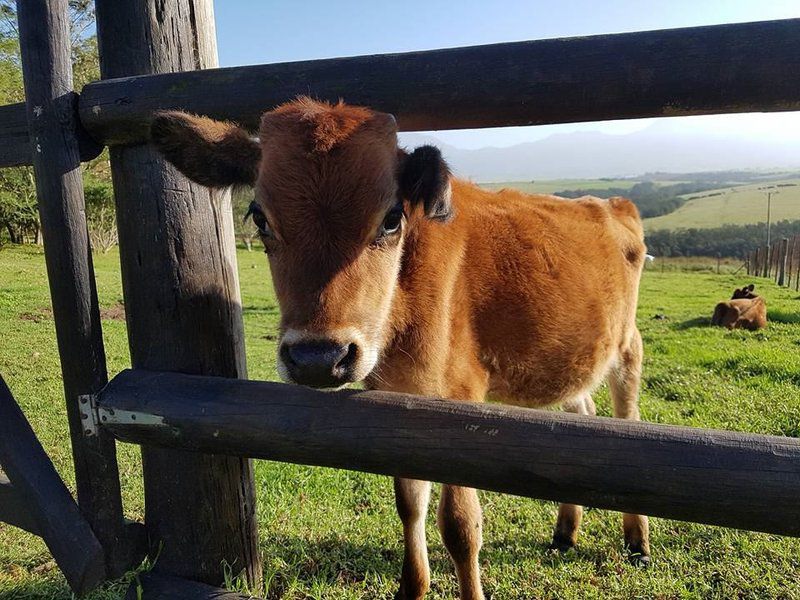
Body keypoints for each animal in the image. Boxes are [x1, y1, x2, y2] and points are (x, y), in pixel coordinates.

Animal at [150, 98, 648, 600]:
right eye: (259, 217)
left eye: (391, 218)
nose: (318, 359)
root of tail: (611, 203)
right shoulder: (397, 402)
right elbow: (409, 501)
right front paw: (413, 586)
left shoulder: (462, 399)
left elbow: (460, 525)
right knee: (582, 413)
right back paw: (565, 532)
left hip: (628, 349)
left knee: (627, 419)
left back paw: (637, 540)